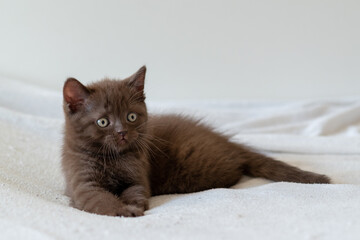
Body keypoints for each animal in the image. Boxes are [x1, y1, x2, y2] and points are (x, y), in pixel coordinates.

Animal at [61, 66, 330, 218]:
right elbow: (101, 198)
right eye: (103, 122)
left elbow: (135, 191)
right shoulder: (82, 184)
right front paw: (123, 209)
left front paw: (133, 206)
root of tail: (225, 141)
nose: (122, 133)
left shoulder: (138, 176)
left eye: (131, 117)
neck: (114, 158)